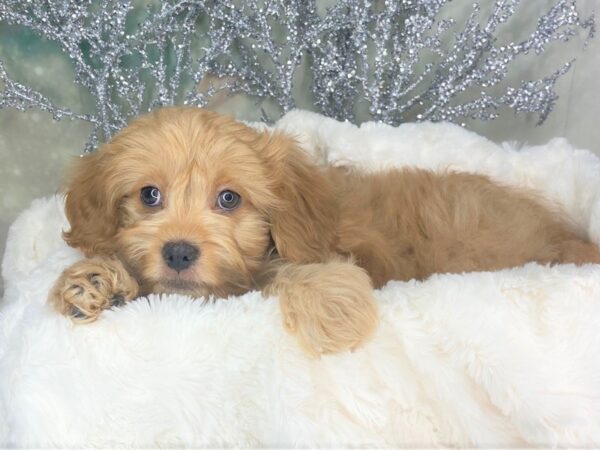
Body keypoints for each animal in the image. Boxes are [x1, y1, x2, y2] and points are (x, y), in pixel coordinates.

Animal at [49, 106, 600, 356]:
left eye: (229, 199)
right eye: (149, 195)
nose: (179, 253)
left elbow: (291, 270)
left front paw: (332, 309)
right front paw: (95, 281)